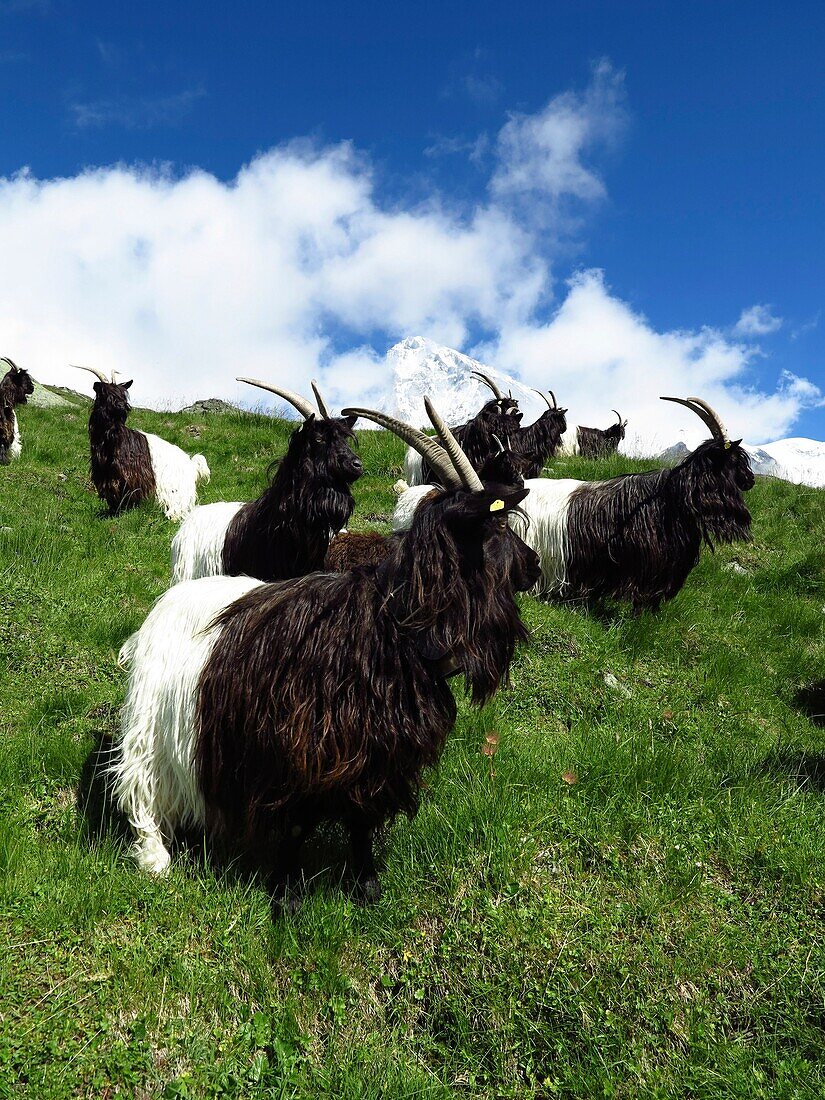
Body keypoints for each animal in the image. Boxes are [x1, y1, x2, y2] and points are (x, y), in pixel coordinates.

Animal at [72, 365, 210, 519]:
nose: (122, 407)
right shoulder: (106, 477)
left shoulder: (132, 476)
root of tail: (191, 464)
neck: (111, 440)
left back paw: (172, 516)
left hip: (175, 488)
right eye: (105, 392)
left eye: (123, 394)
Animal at [114, 400, 543, 906]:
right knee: (139, 784)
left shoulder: (373, 756)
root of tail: (160, 609)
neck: (390, 626)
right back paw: (154, 856)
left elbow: (360, 822)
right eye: (497, 525)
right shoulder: (298, 748)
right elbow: (298, 826)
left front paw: (367, 886)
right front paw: (285, 896)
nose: (535, 565)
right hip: (152, 724)